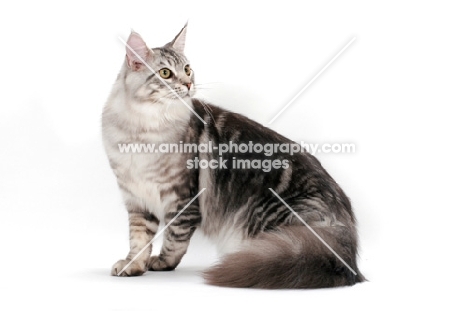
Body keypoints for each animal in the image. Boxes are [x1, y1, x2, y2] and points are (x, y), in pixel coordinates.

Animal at [102, 24, 366, 290]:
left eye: (187, 69)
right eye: (165, 73)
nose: (188, 84)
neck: (141, 130)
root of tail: (345, 228)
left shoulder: (182, 197)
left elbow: (175, 238)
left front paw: (162, 263)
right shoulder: (136, 199)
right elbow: (139, 239)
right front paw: (133, 265)